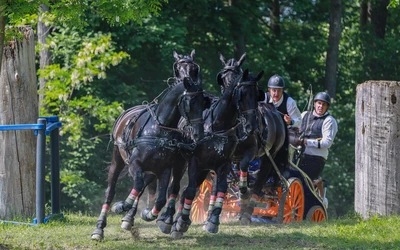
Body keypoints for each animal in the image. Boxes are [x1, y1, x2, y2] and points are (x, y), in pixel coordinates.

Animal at [92, 49, 208, 240]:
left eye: (195, 68)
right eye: (189, 103)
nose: (198, 133)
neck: (160, 128)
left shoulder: (166, 168)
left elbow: (161, 197)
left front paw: (151, 215)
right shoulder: (135, 164)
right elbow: (138, 186)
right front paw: (121, 206)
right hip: (118, 158)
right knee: (111, 190)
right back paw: (100, 227)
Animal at [170, 53, 266, 238]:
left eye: (257, 94)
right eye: (242, 94)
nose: (251, 124)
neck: (219, 124)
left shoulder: (224, 163)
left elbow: (221, 188)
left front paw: (213, 221)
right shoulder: (195, 161)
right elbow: (190, 190)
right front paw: (181, 223)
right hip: (189, 164)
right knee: (184, 188)